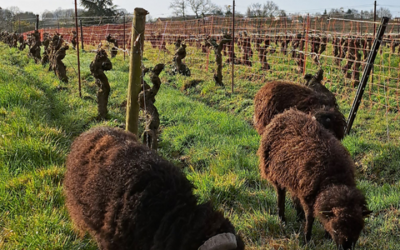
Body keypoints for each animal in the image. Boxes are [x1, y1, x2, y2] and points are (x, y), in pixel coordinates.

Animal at [256, 109, 372, 248]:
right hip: (275, 174)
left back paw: (298, 216)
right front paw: (307, 239)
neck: (334, 179)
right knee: (281, 196)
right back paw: (282, 219)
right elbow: (310, 218)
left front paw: (326, 236)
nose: (346, 248)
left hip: (294, 178)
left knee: (294, 195)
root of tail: (285, 113)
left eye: (359, 229)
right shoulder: (309, 196)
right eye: (336, 230)